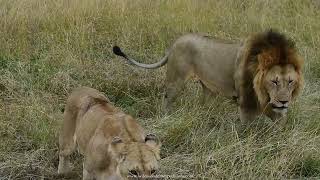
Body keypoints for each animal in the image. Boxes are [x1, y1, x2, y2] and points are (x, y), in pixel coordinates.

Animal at [114, 30, 304, 123]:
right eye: (274, 81)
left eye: (290, 81)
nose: (284, 101)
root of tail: (175, 42)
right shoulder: (245, 101)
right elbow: (247, 126)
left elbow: (279, 120)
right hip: (176, 80)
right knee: (167, 98)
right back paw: (166, 117)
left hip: (208, 88)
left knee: (204, 104)